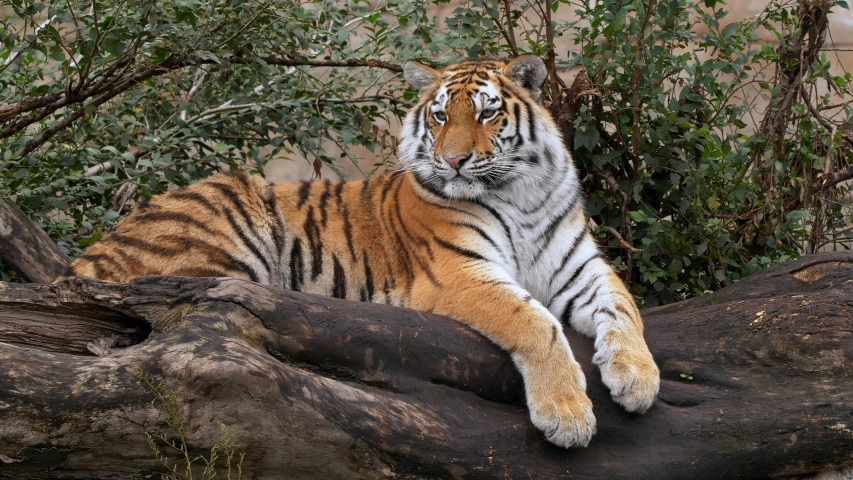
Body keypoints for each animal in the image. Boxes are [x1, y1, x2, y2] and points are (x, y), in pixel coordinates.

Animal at [71, 54, 660, 448]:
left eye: (487, 115)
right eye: (441, 117)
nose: (453, 162)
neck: (521, 193)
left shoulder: (581, 268)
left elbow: (624, 307)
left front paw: (636, 377)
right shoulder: (459, 273)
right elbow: (535, 322)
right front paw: (568, 414)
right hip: (229, 212)